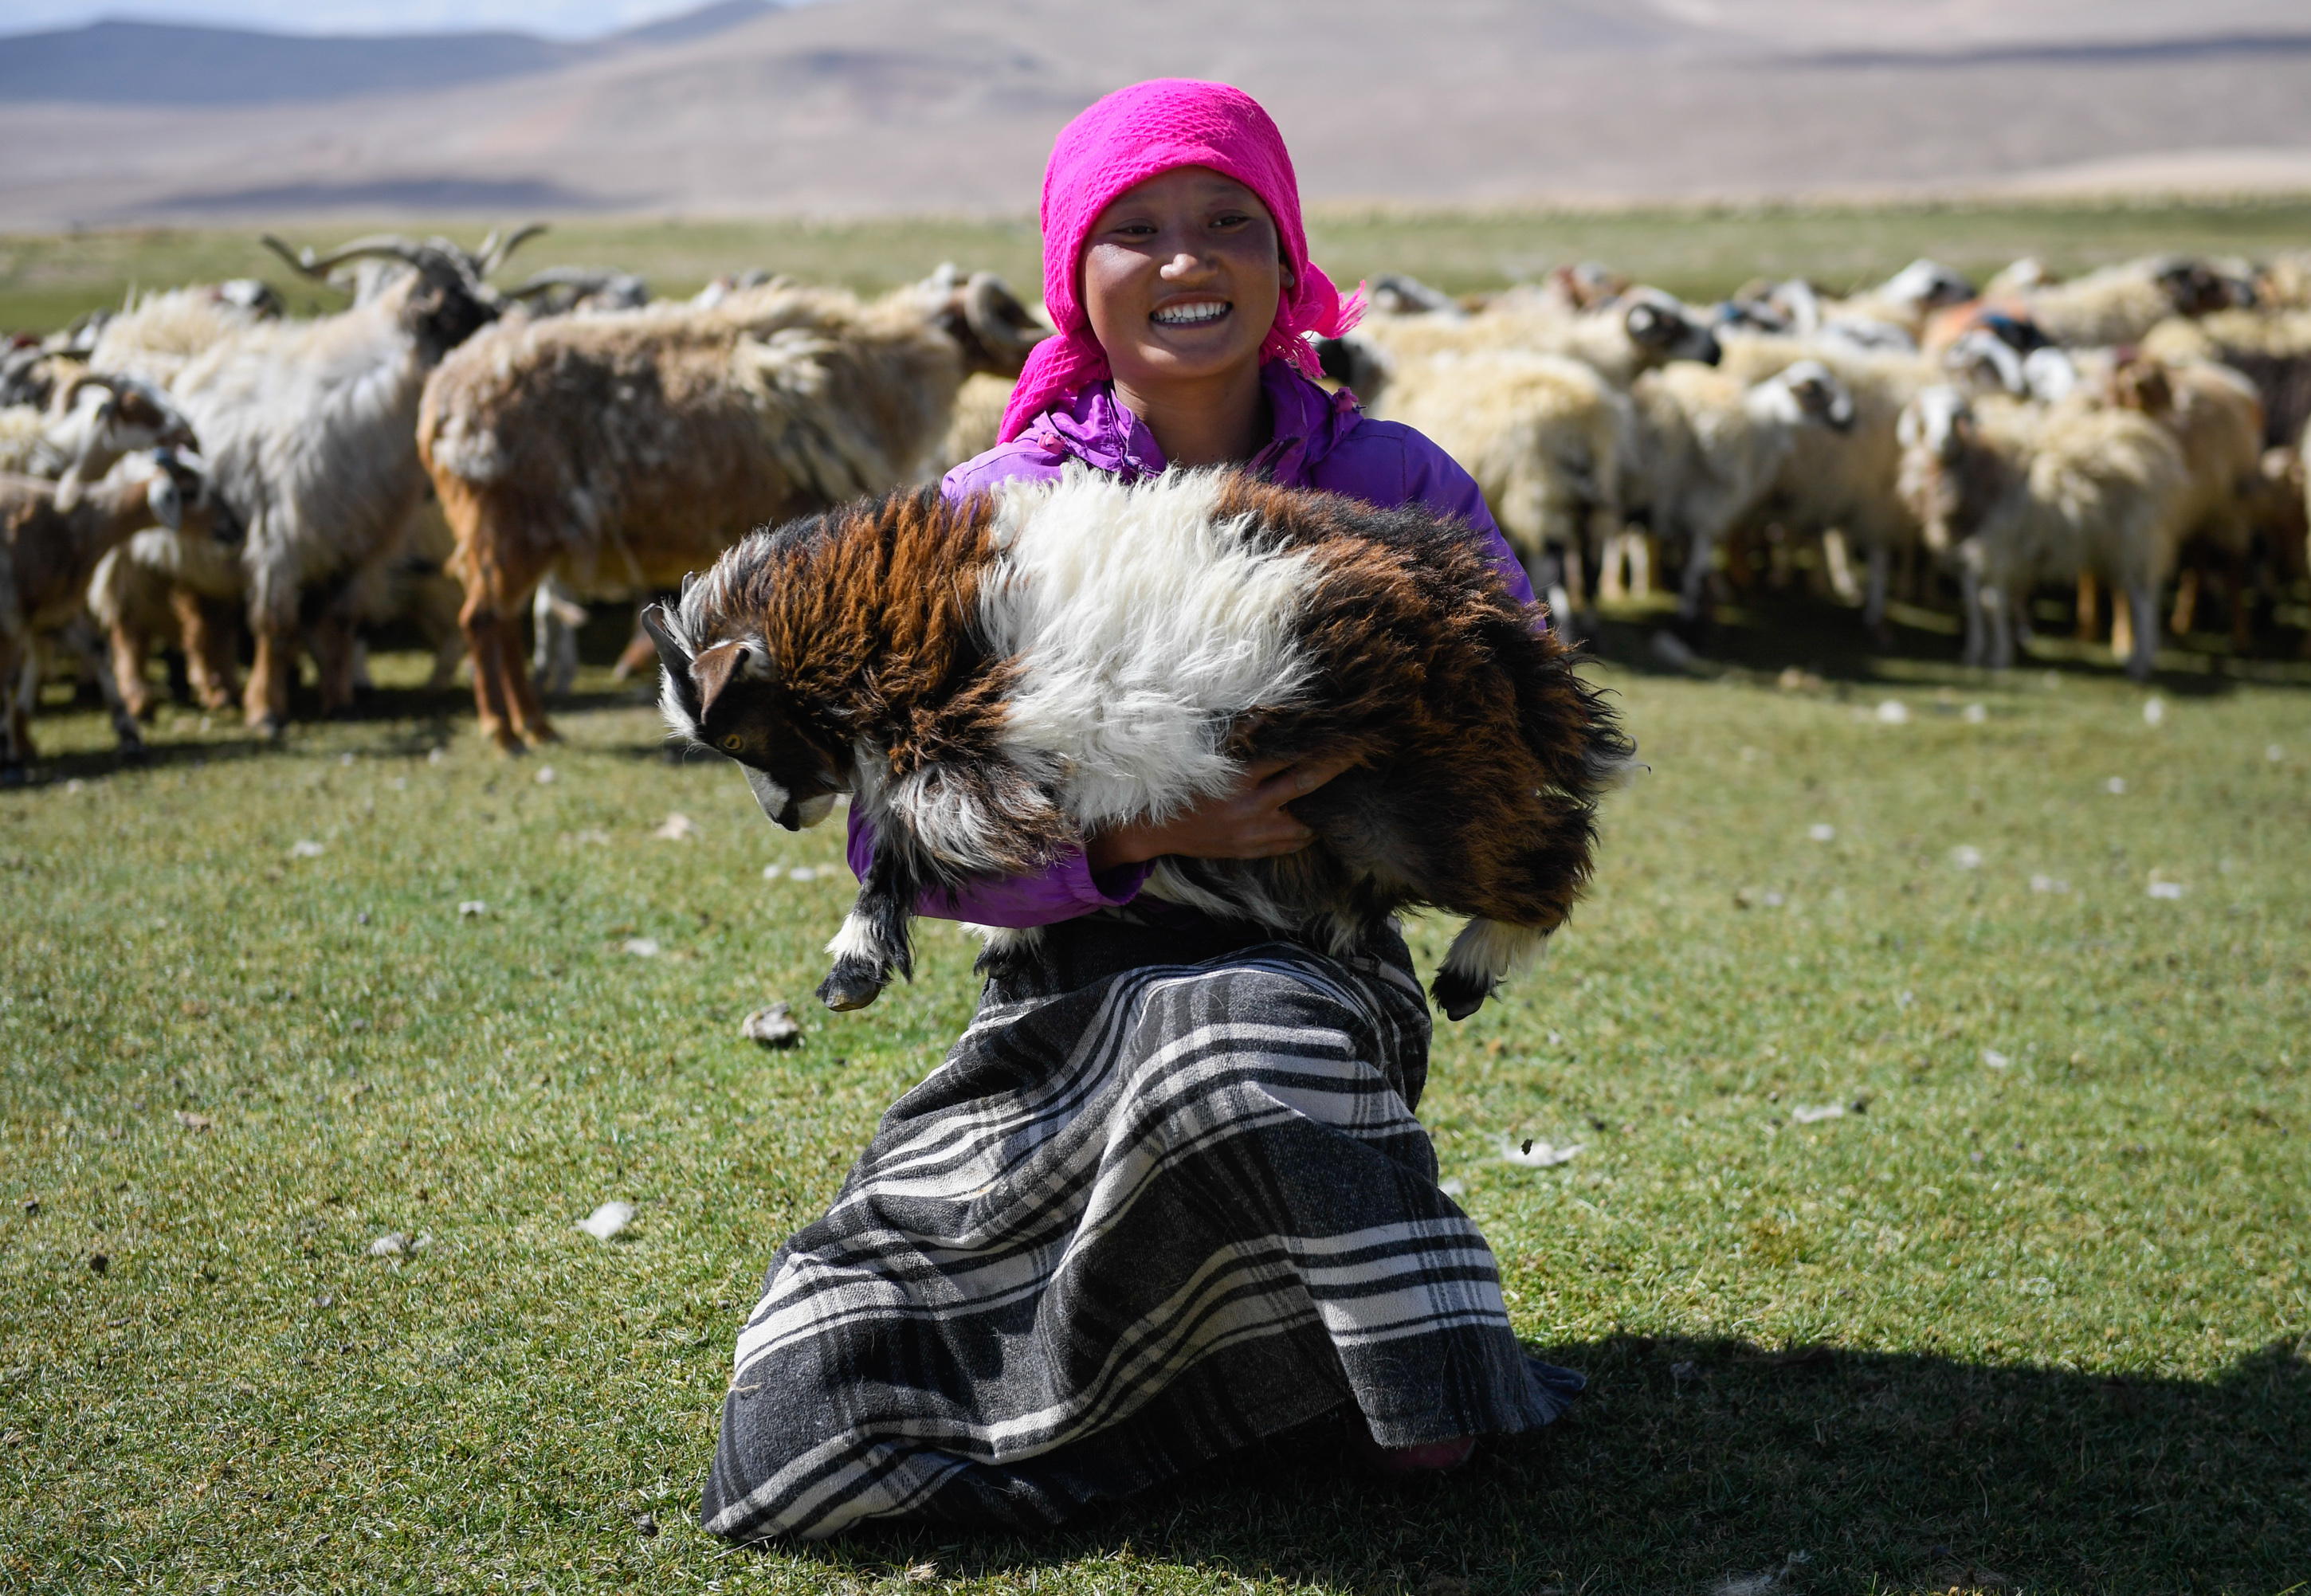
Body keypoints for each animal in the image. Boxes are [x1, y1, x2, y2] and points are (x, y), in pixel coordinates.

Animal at [2, 450, 226, 778]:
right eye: (188, 491)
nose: (235, 526)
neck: (77, 522)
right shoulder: (13, 615)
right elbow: (8, 679)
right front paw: (10, 759)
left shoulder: (54, 611)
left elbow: (98, 650)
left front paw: (130, 736)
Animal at [417, 268, 1049, 751]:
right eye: (1007, 311)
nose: (1041, 338)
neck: (882, 369)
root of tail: (441, 401)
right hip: (506, 530)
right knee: (482, 620)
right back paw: (504, 733)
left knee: (499, 623)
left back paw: (537, 727)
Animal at [644, 467, 1632, 1020]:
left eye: (736, 729)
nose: (781, 817)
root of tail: (1495, 619)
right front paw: (993, 940)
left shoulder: (969, 759)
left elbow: (905, 850)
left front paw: (855, 962)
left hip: (1411, 799)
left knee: (1546, 857)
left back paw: (1470, 970)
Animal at [1623, 359, 1858, 621]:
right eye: (1816, 390)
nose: (1850, 420)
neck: (1762, 426)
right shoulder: (1705, 507)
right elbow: (1695, 570)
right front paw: (1691, 615)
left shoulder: (1682, 513)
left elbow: (1688, 563)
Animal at [1896, 386, 2187, 679]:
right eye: (1925, 416)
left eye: (1958, 416)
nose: (1942, 442)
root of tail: (2154, 444)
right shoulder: (1969, 550)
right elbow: (1975, 603)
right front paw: (1974, 652)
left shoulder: (1996, 548)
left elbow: (1994, 602)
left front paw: (1999, 656)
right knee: (2142, 595)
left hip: (2137, 540)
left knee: (2143, 601)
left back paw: (2140, 664)